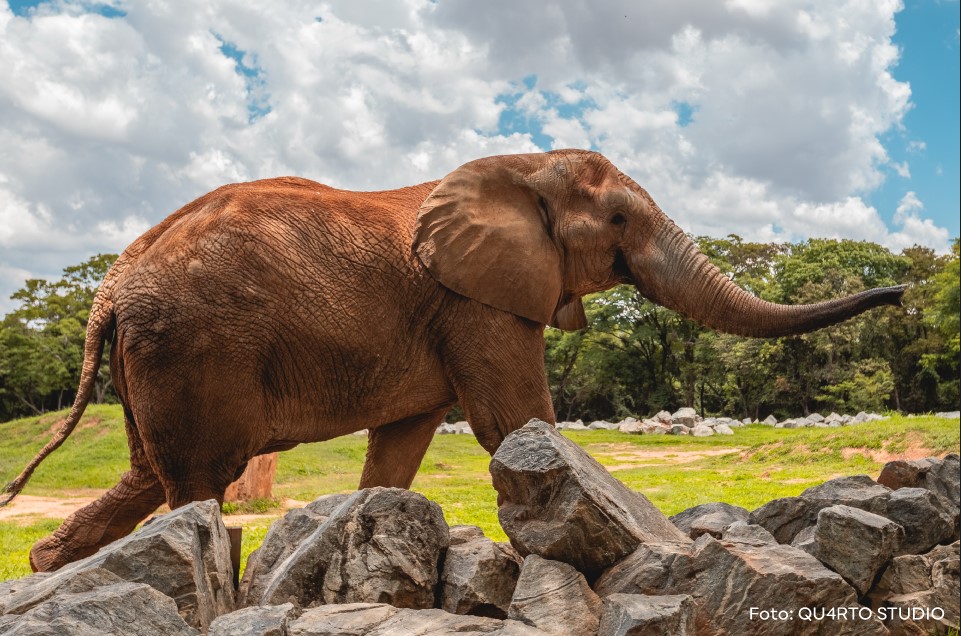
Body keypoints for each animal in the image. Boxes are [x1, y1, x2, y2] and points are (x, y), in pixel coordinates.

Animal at [1, 150, 904, 572]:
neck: (519, 167)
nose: (900, 290)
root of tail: (110, 286)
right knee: (194, 481)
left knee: (148, 474)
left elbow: (400, 449)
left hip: (159, 357)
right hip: (194, 346)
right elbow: (517, 423)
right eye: (617, 220)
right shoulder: (478, 303)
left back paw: (45, 567)